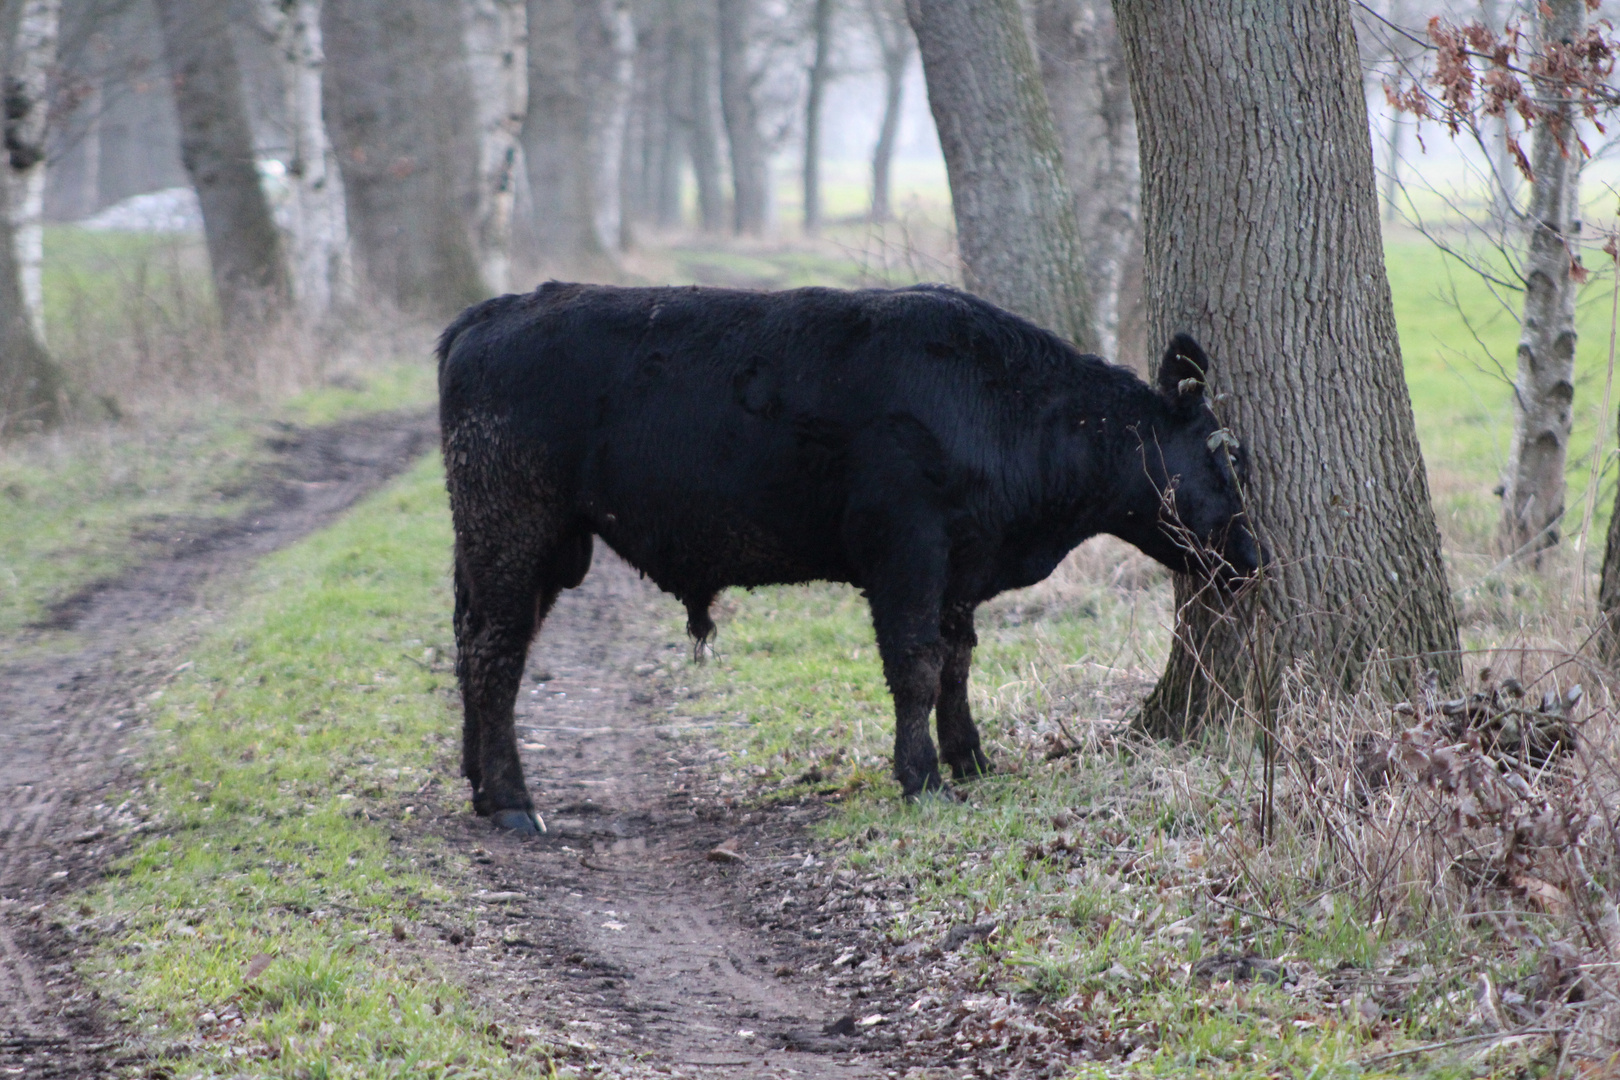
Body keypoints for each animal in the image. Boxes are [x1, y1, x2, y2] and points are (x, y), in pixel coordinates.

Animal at [437, 283, 1257, 835]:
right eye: (1225, 460)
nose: (1254, 556)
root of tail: (493, 311)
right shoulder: (908, 548)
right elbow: (917, 663)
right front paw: (923, 778)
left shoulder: (960, 568)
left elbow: (957, 661)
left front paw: (971, 759)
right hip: (513, 529)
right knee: (494, 653)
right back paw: (511, 803)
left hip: (525, 547)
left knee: (474, 646)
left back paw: (478, 781)